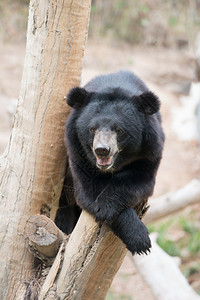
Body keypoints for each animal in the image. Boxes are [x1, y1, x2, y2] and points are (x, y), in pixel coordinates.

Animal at [55, 71, 165, 255]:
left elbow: (139, 181)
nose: (102, 150)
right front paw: (140, 240)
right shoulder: (77, 154)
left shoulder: (150, 153)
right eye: (92, 129)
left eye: (119, 130)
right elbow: (88, 190)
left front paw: (106, 207)